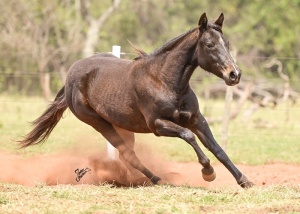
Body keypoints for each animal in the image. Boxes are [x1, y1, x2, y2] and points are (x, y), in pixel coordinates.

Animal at [18, 12, 253, 188]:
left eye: (227, 43)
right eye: (210, 44)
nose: (234, 74)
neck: (164, 81)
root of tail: (70, 77)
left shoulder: (197, 119)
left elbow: (217, 149)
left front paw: (244, 180)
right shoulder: (158, 125)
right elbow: (189, 136)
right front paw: (208, 171)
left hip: (122, 125)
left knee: (126, 155)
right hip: (100, 124)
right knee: (128, 155)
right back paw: (158, 179)